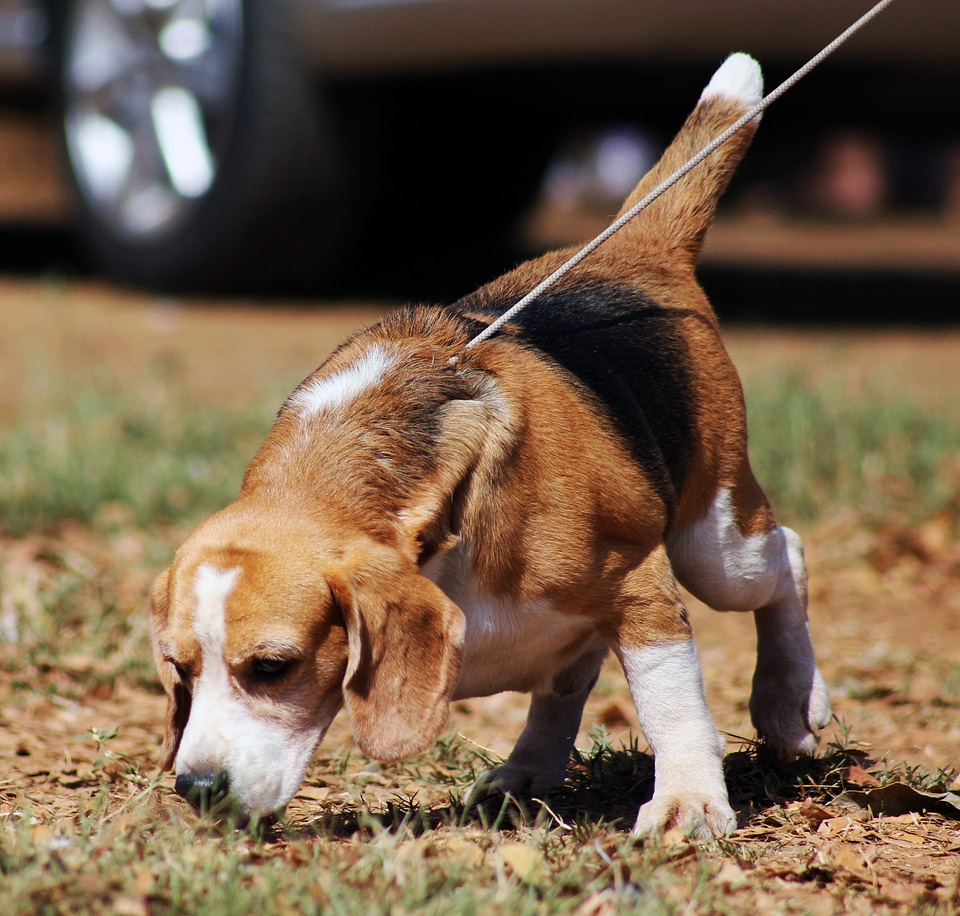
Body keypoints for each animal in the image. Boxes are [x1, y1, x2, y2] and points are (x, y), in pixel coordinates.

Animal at [152, 52, 832, 836]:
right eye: (179, 669)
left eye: (272, 667)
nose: (198, 787)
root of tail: (635, 248)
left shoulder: (640, 586)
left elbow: (670, 703)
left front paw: (687, 801)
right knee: (570, 678)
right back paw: (528, 769)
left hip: (714, 543)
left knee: (784, 555)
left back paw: (789, 700)